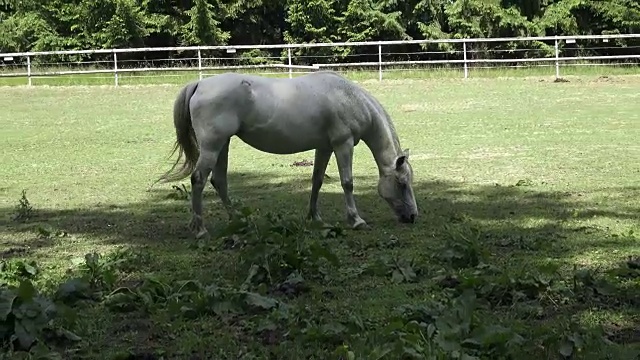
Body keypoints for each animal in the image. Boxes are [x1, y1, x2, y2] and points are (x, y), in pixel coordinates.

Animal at [159, 70, 418, 239]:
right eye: (402, 183)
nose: (413, 216)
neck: (348, 97)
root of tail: (199, 85)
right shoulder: (343, 145)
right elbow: (347, 182)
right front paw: (356, 220)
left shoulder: (324, 147)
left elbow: (317, 181)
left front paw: (315, 217)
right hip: (212, 147)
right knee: (198, 180)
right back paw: (200, 229)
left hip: (223, 145)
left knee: (219, 181)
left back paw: (238, 222)